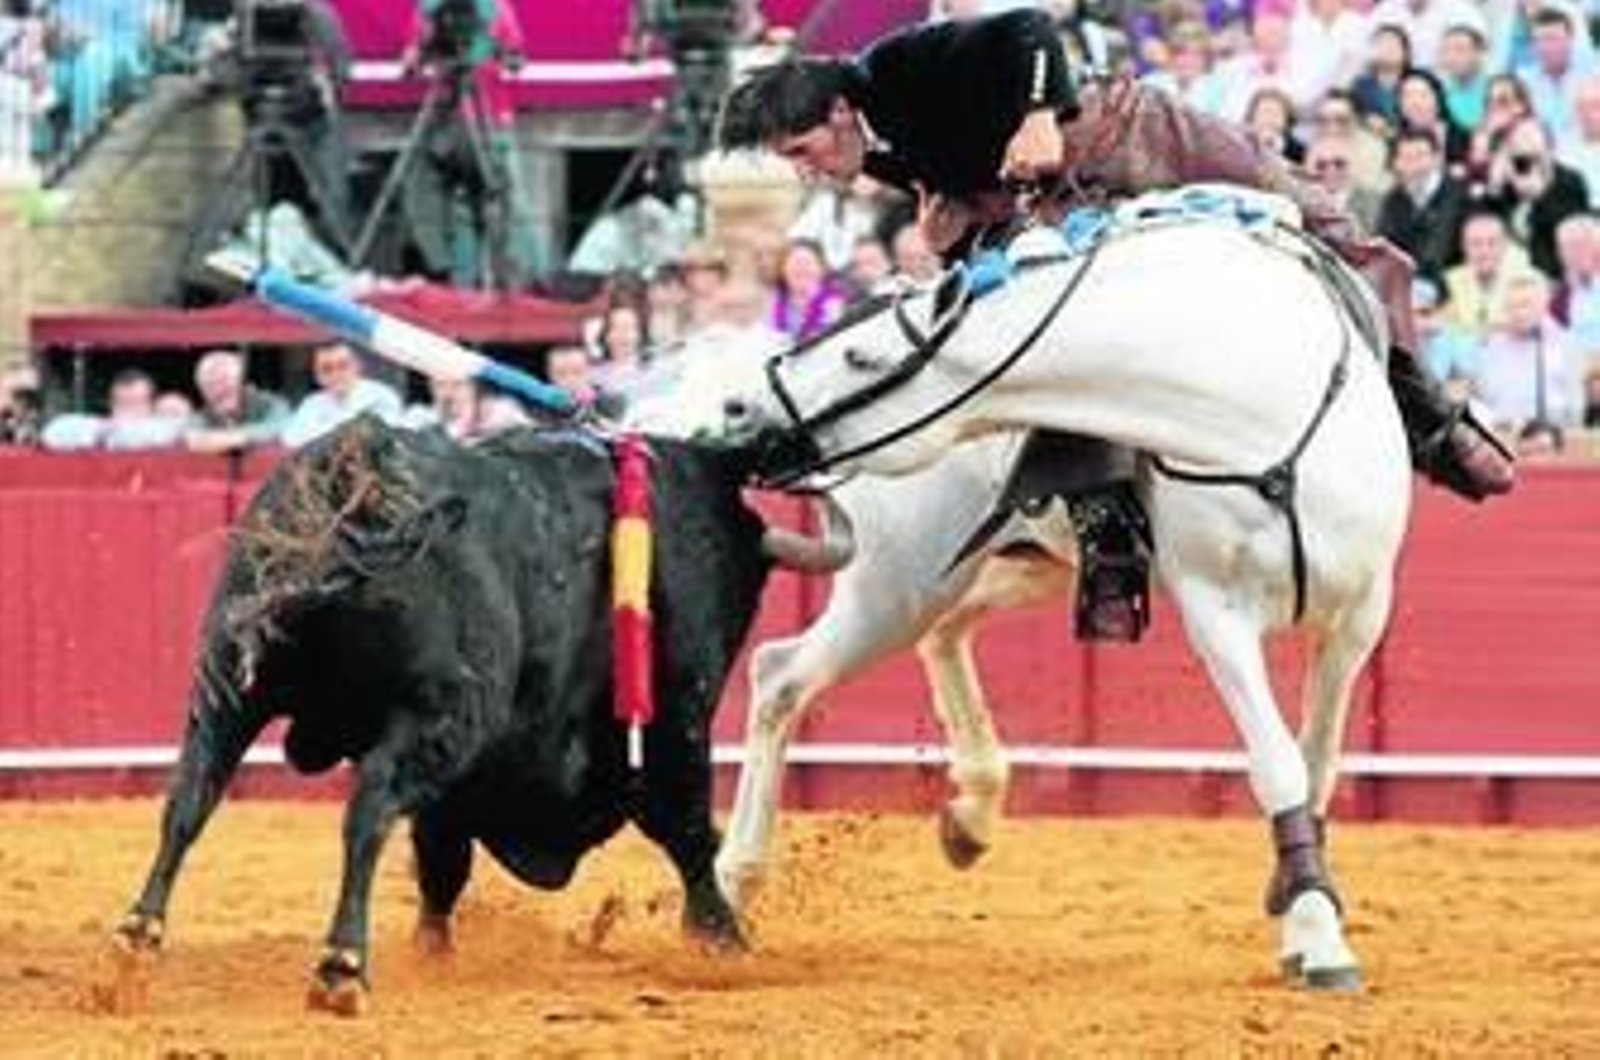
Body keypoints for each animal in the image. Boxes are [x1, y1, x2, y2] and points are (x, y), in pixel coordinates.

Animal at [715, 207, 1412, 992]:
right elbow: (1279, 762)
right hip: (896, 584)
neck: (1254, 408)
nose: (740, 405)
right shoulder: (1217, 613)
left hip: (1007, 569)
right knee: (782, 673)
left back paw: (971, 814)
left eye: (861, 356)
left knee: (939, 634)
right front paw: (1319, 937)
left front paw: (1299, 912)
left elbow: (1318, 762)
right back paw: (732, 884)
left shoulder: (1361, 615)